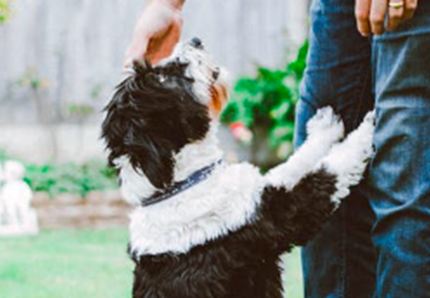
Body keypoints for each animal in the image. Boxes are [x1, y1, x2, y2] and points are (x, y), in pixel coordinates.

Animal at [102, 38, 374, 298]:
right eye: (163, 77)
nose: (196, 40)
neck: (181, 184)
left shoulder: (261, 193)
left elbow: (293, 164)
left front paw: (324, 127)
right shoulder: (281, 216)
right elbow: (330, 171)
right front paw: (369, 125)